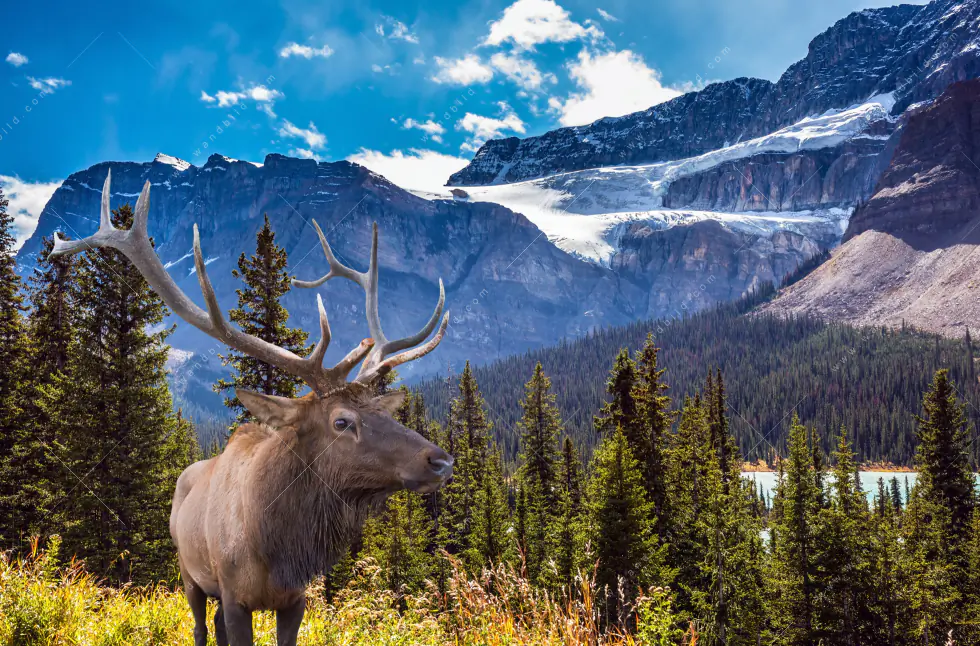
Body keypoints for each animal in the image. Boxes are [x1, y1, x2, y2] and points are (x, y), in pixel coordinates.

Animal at [51, 171, 455, 646]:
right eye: (342, 421)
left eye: (386, 413)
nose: (441, 461)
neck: (276, 548)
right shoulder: (233, 594)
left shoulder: (296, 599)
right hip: (189, 573)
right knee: (201, 627)